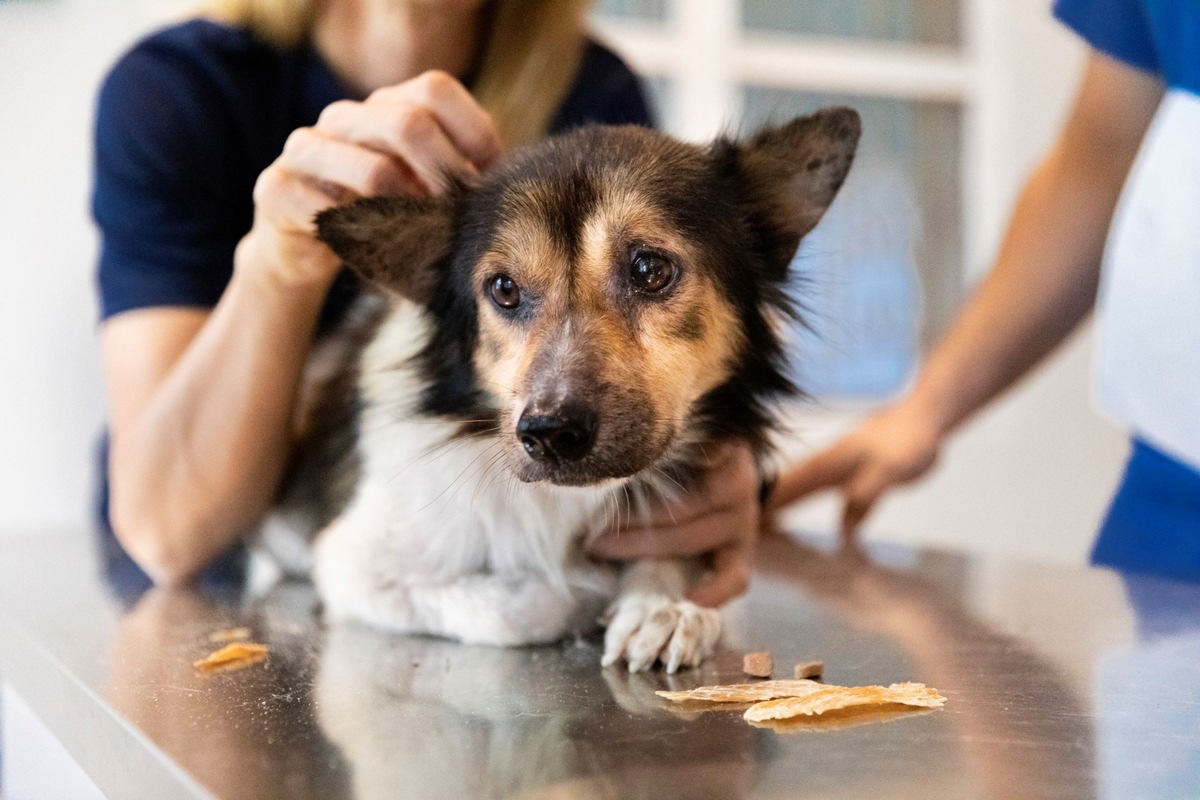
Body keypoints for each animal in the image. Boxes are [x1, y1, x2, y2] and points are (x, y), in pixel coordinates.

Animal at [266, 109, 859, 671]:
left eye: (649, 268)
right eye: (504, 289)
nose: (550, 433)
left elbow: (667, 555)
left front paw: (661, 608)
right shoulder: (351, 563)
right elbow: (518, 608)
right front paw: (586, 593)